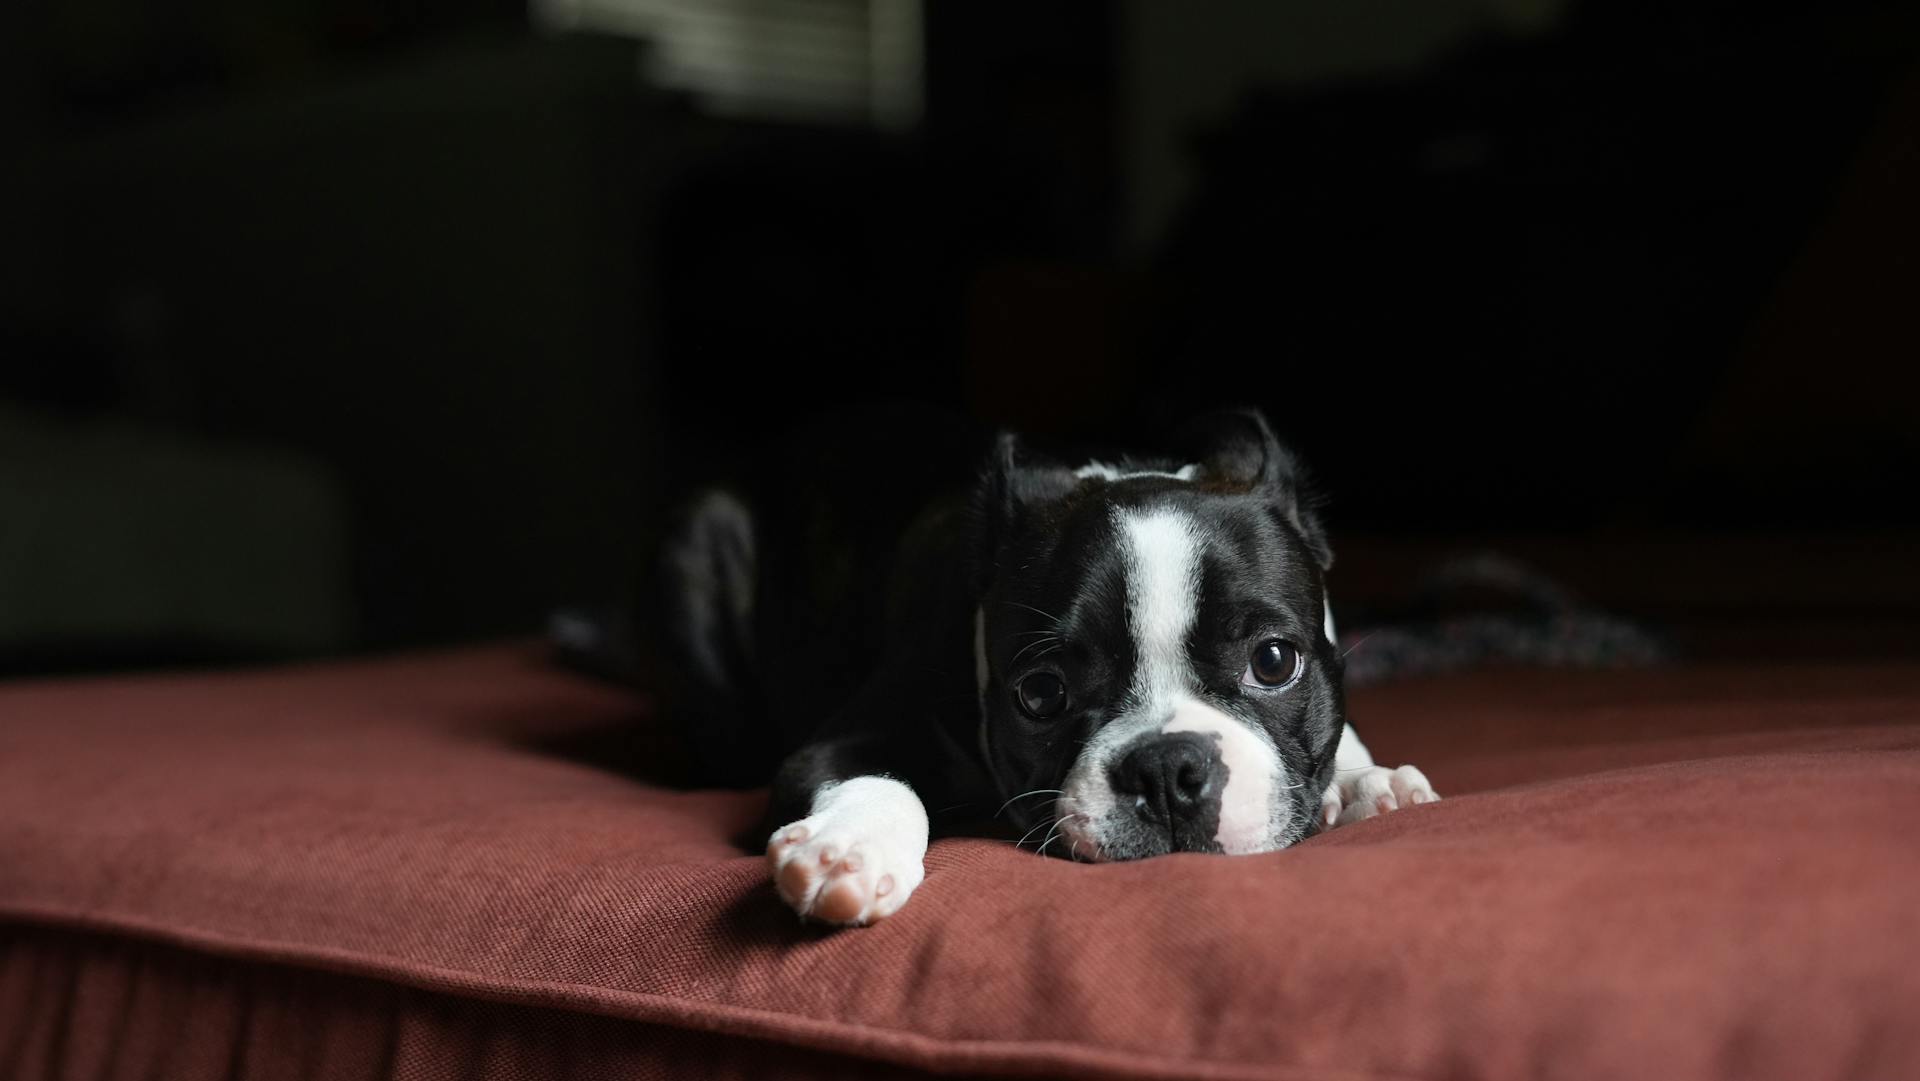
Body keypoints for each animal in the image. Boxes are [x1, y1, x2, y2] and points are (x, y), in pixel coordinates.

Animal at [652, 410, 1436, 925]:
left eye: (1273, 661)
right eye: (1040, 694)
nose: (1168, 768)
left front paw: (1367, 781)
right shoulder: (833, 743)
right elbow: (879, 777)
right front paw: (850, 848)